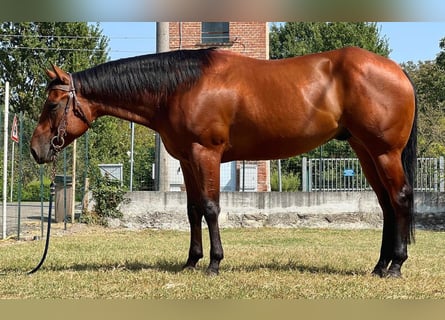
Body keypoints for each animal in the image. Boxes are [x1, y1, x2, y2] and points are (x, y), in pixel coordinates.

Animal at [31, 47, 416, 278]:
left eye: (52, 104)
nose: (36, 150)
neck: (181, 87)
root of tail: (397, 70)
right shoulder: (187, 160)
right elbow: (192, 210)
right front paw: (191, 261)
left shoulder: (207, 154)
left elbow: (212, 207)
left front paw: (214, 263)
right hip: (365, 152)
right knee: (385, 204)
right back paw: (379, 265)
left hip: (384, 152)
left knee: (400, 199)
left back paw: (396, 265)